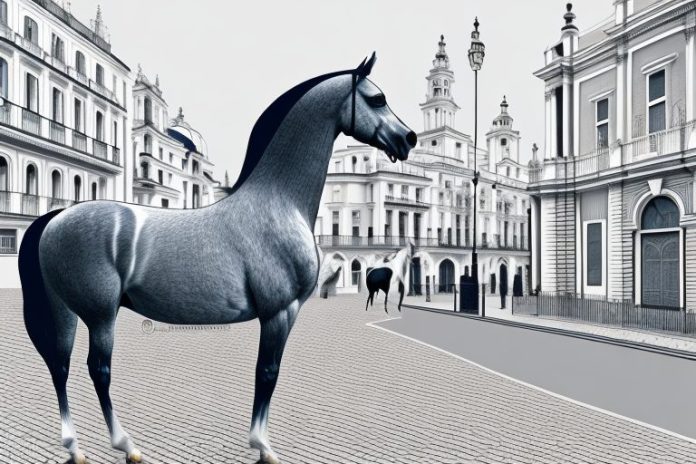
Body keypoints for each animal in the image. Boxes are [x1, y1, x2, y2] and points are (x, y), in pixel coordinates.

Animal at [18, 52, 416, 464]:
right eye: (377, 99)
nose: (408, 139)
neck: (277, 202)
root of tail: (56, 218)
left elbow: (265, 373)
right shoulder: (280, 312)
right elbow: (267, 372)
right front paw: (263, 446)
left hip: (67, 309)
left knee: (60, 364)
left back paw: (75, 446)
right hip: (99, 315)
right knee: (97, 370)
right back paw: (126, 445)